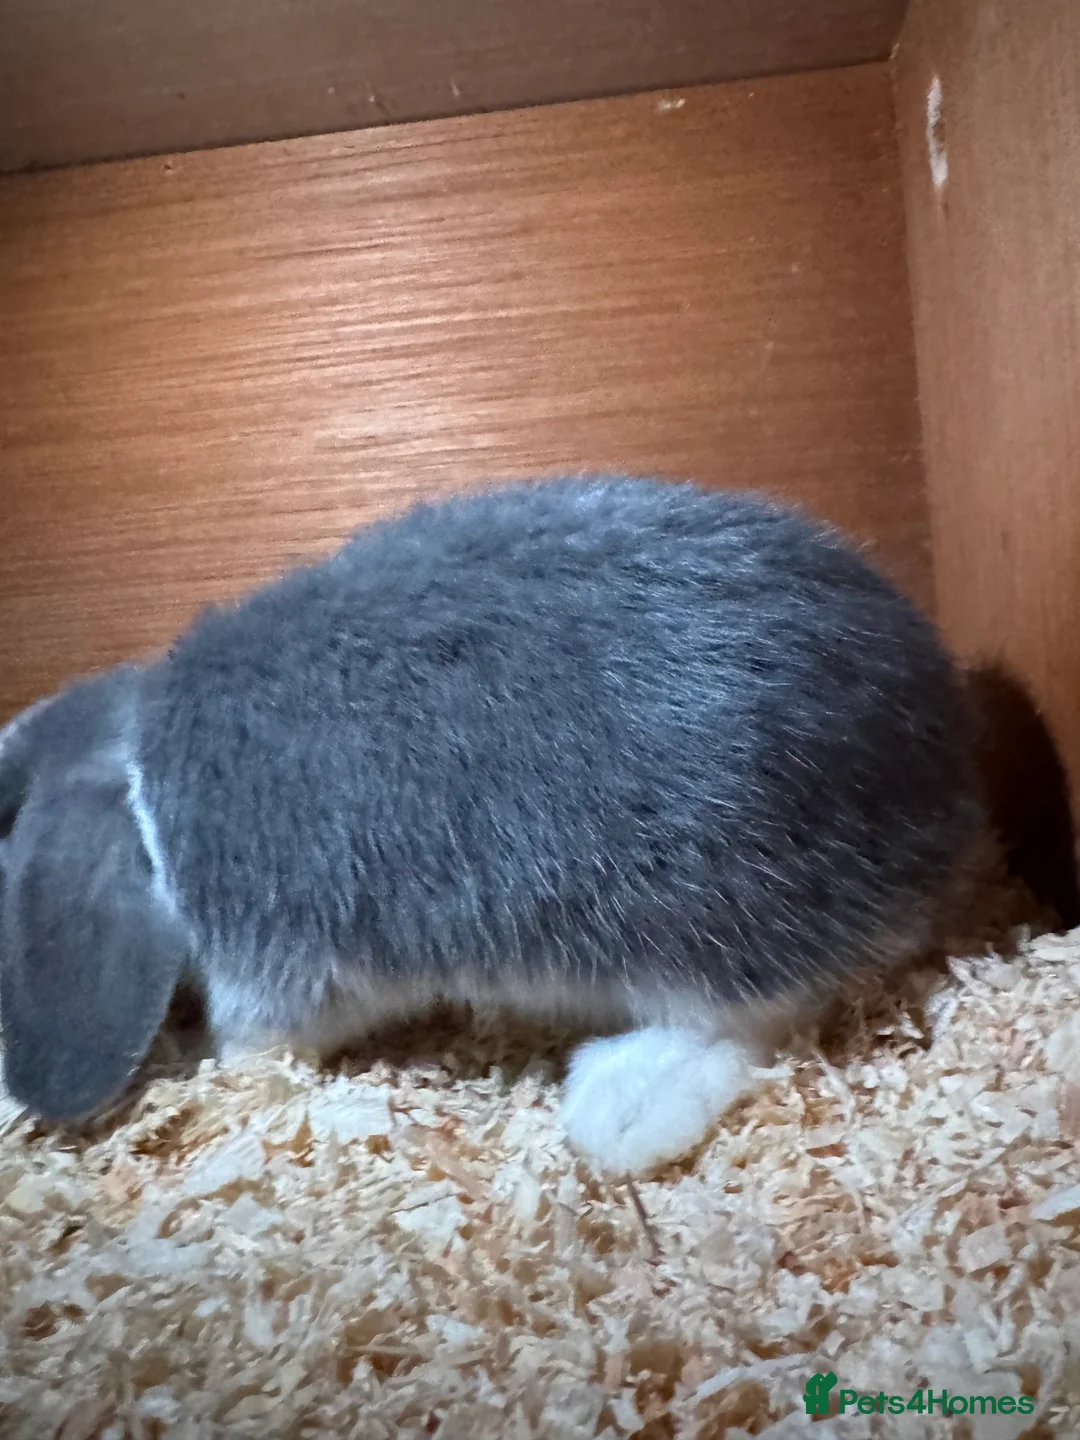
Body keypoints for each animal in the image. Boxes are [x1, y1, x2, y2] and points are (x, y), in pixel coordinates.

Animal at [0, 476, 985, 1176]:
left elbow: (262, 1037)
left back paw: (619, 1108)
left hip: (699, 931)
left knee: (743, 1030)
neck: (138, 778)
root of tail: (939, 788)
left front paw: (212, 1059)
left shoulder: (275, 966)